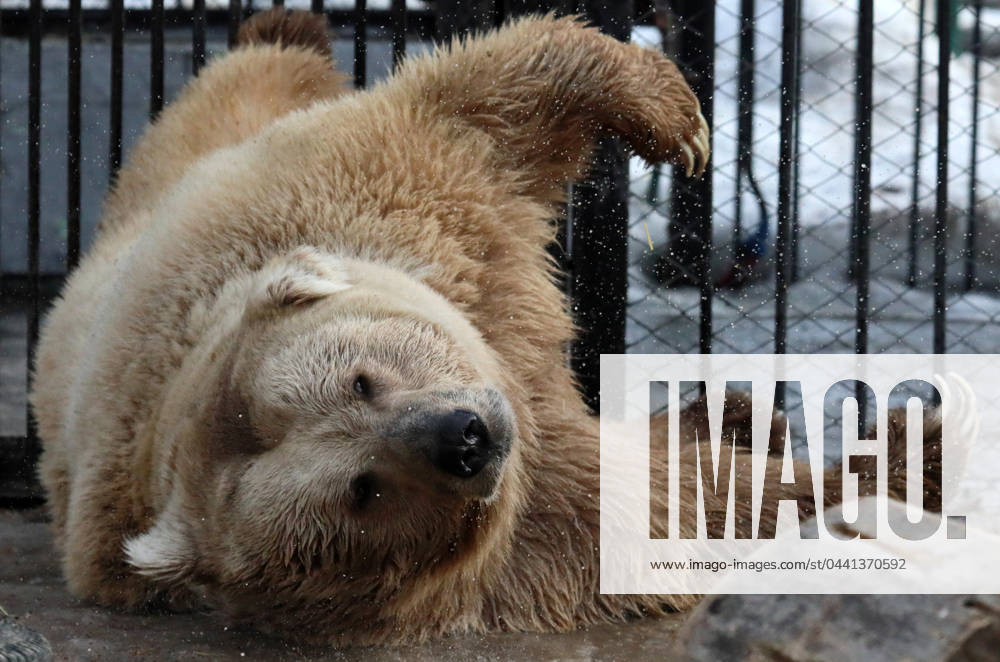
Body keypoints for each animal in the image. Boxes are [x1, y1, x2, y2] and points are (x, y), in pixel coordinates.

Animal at [29, 9, 937, 646]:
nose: (461, 437)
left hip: (180, 170)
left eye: (363, 378)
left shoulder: (394, 202)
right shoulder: (531, 535)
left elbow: (485, 104)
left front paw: (676, 119)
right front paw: (908, 457)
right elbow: (681, 512)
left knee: (240, 85)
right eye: (363, 491)